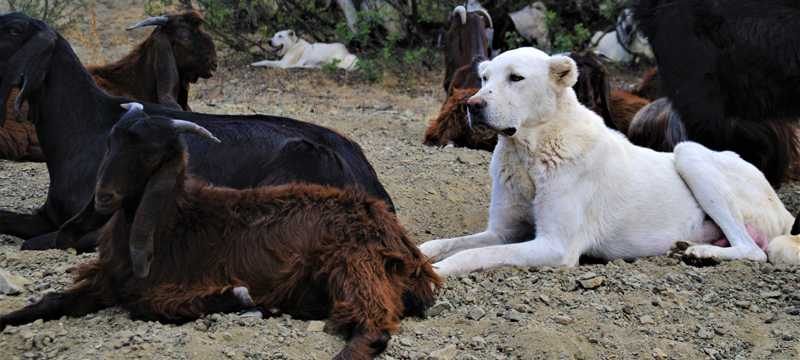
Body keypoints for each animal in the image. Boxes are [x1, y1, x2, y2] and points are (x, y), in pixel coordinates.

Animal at [0, 102, 440, 358]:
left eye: (152, 154)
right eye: (111, 143)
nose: (103, 197)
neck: (172, 219)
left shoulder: (171, 284)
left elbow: (151, 305)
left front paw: (240, 299)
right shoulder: (105, 280)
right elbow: (50, 302)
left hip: (354, 266)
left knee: (374, 327)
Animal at [418, 45, 800, 276]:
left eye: (516, 78)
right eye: (484, 78)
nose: (472, 106)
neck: (528, 152)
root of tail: (785, 213)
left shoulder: (555, 247)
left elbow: (473, 255)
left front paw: (436, 271)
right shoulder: (502, 231)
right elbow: (445, 243)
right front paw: (420, 254)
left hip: (689, 152)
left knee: (753, 250)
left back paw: (703, 254)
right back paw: (691, 246)